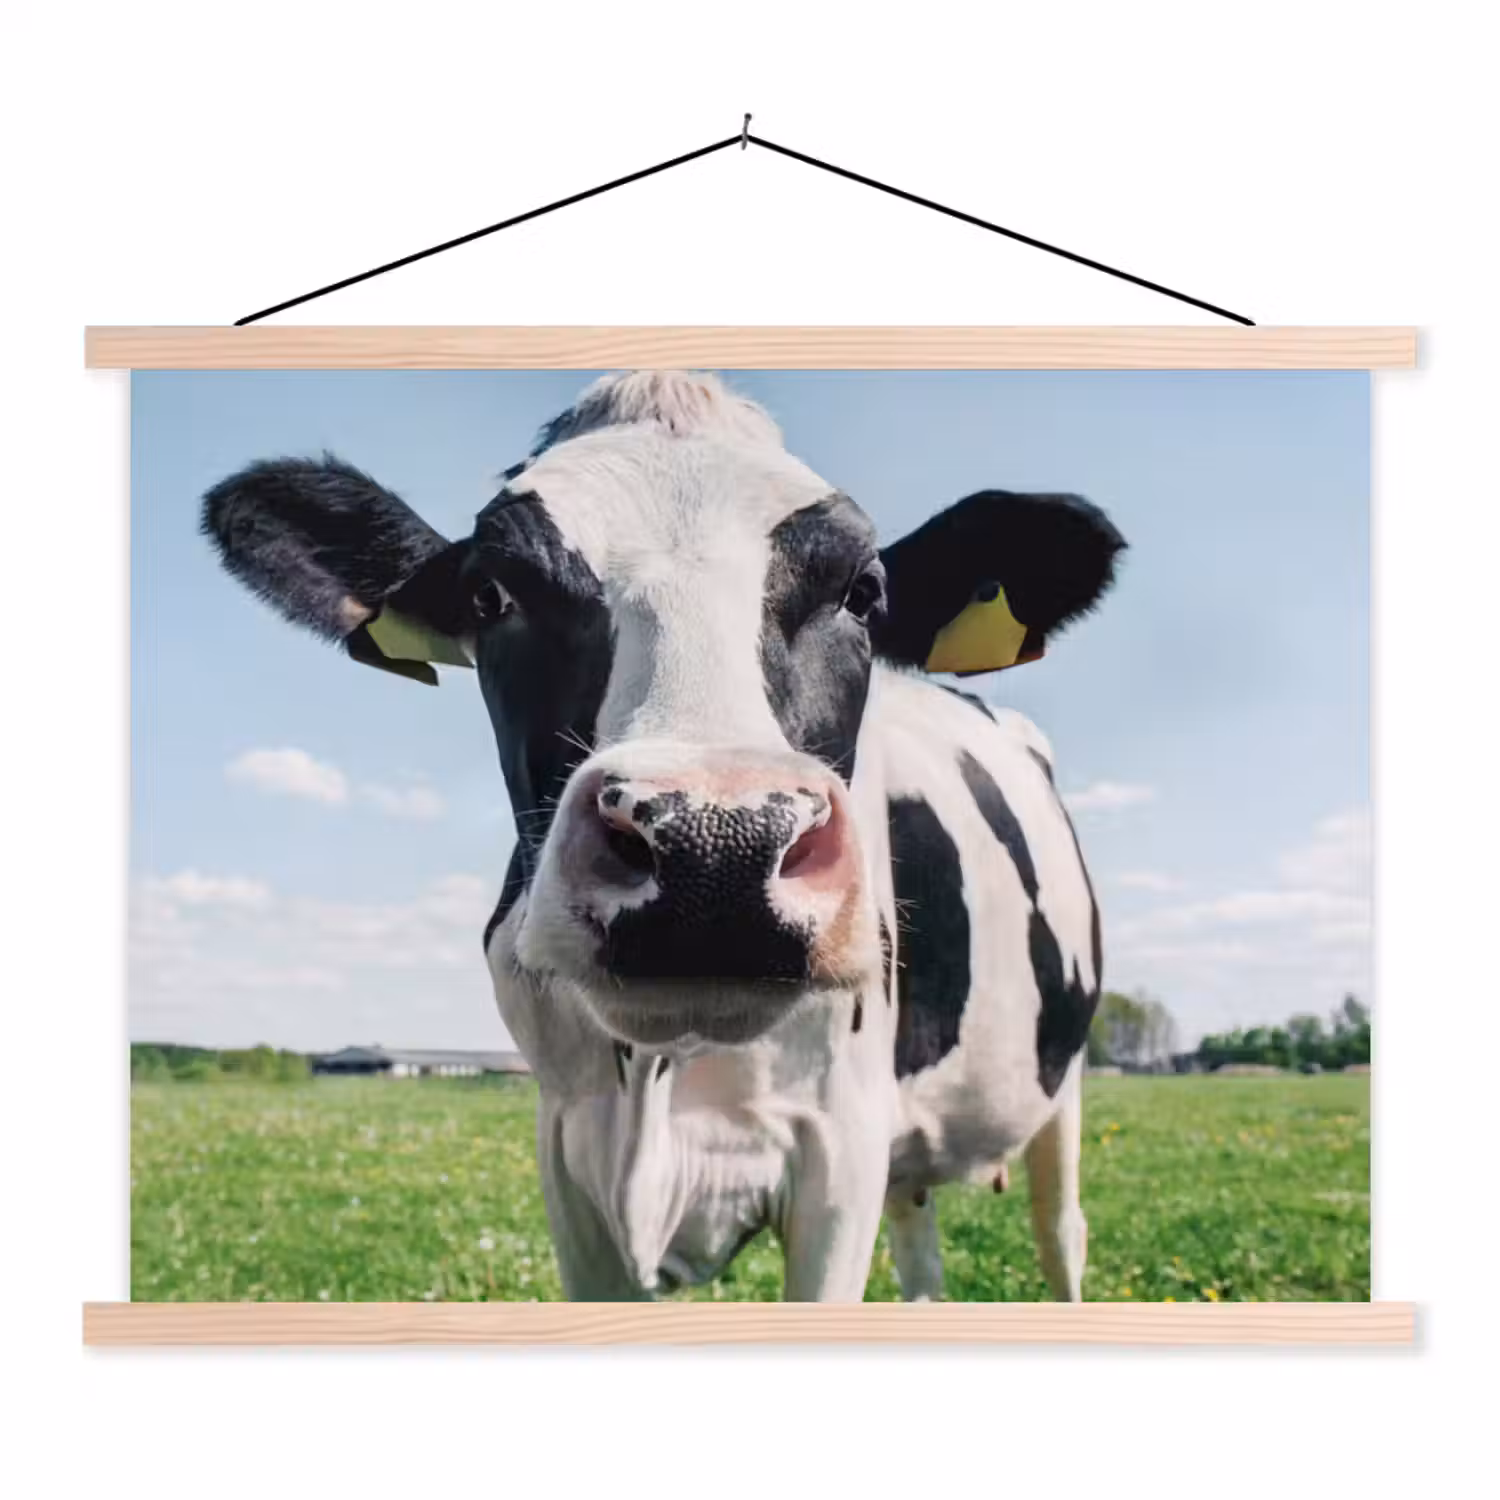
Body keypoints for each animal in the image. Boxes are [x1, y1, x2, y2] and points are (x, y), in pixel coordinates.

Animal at [201, 371, 1125, 1302]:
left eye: (863, 592)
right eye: (491, 594)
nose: (716, 849)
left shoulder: (842, 1146)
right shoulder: (568, 1149)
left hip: (1061, 1087)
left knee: (1063, 1232)